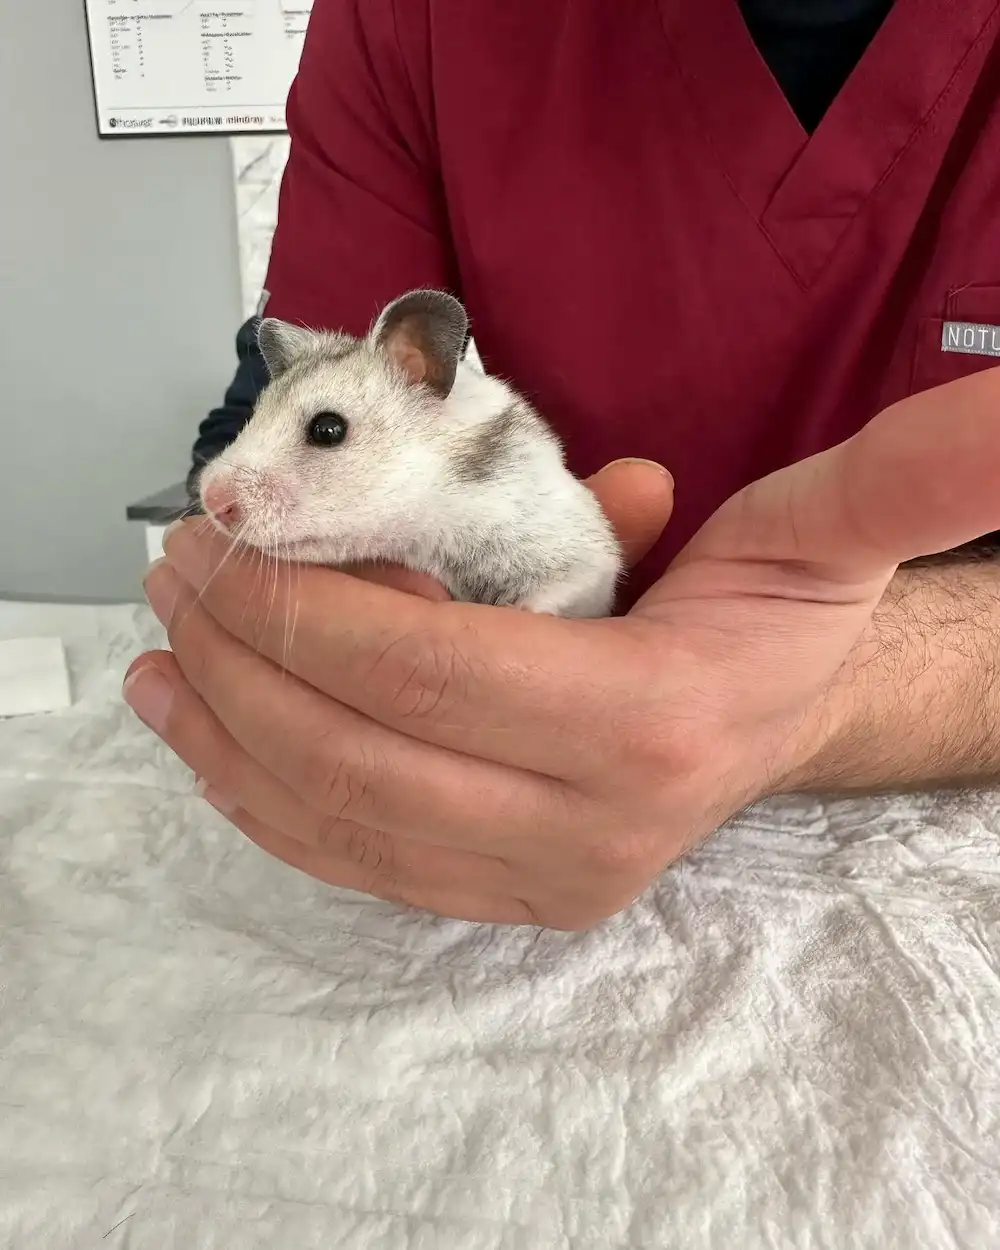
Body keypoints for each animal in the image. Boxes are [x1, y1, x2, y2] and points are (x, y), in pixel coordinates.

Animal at [197, 289, 623, 618]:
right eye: (255, 412)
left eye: (327, 429)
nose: (211, 500)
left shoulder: (582, 557)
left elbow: (567, 586)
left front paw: (519, 610)